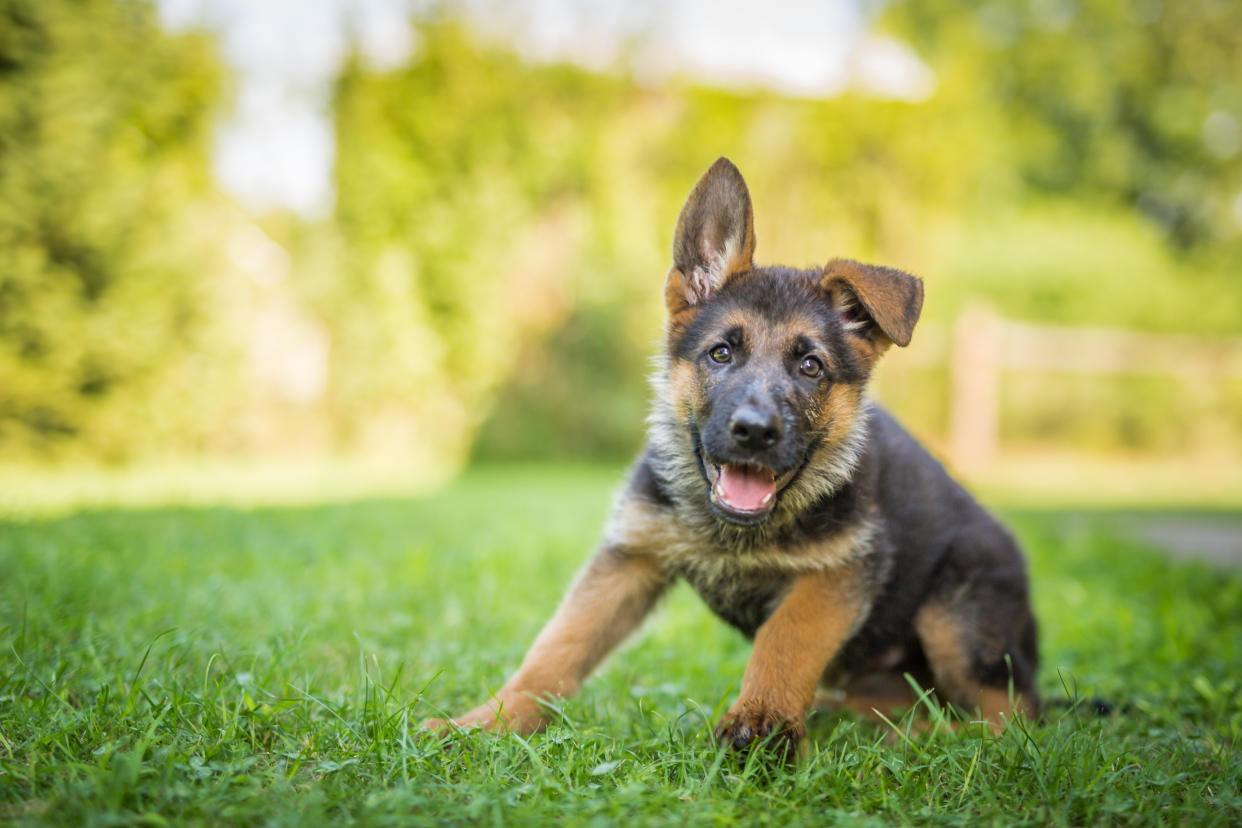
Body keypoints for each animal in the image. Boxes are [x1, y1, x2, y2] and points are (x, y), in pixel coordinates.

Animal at [422, 158, 1043, 759]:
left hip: (958, 610)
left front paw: (762, 721)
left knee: (1011, 717)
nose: (753, 431)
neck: (735, 533)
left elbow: (786, 637)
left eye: (811, 367)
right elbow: (558, 646)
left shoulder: (840, 571)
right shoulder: (630, 557)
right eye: (721, 353)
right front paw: (487, 724)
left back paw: (921, 740)